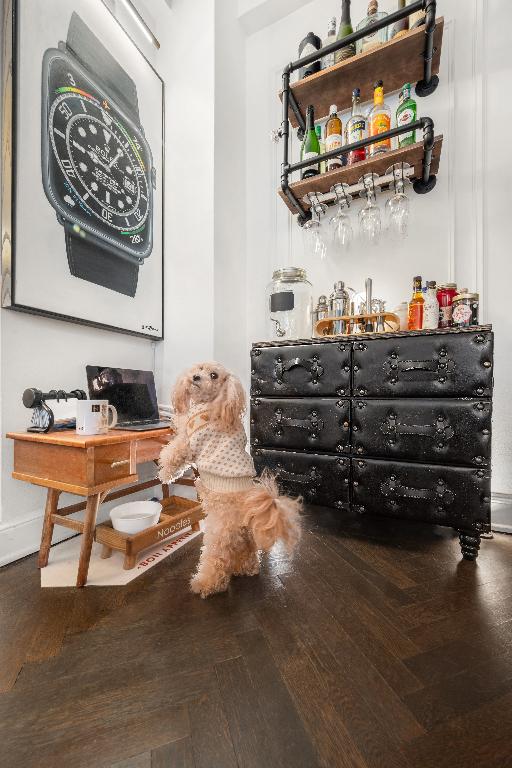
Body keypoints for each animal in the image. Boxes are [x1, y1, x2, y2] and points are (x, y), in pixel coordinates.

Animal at [158, 364, 302, 596]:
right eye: (199, 368)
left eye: (214, 375)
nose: (195, 377)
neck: (211, 402)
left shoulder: (189, 441)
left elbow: (173, 453)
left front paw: (164, 473)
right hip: (245, 539)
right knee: (247, 555)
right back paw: (246, 569)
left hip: (217, 535)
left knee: (217, 563)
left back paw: (204, 584)